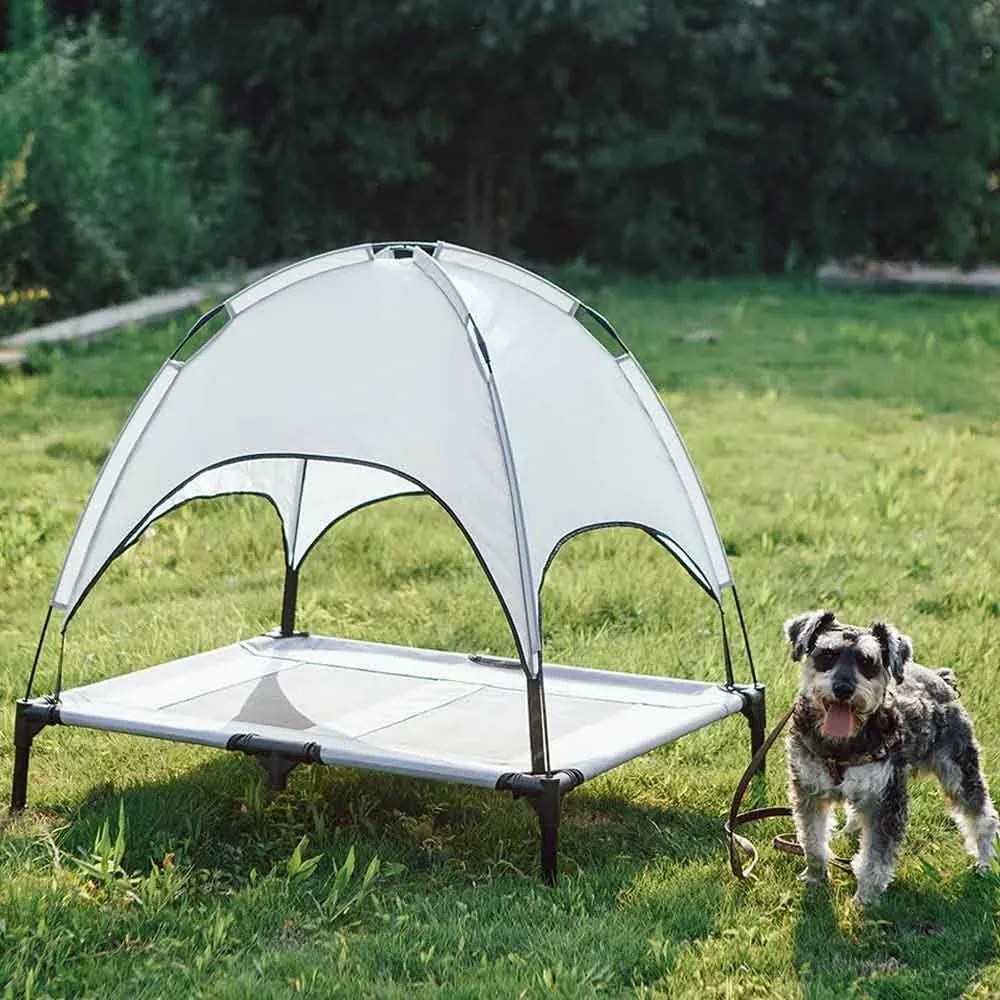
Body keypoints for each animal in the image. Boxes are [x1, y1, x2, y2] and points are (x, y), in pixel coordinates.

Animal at [784, 608, 996, 908]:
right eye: (827, 655)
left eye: (868, 662)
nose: (843, 689)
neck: (842, 745)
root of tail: (940, 678)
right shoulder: (808, 791)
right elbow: (812, 840)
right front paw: (814, 876)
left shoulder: (886, 801)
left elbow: (875, 858)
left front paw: (864, 900)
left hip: (960, 773)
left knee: (983, 817)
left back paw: (984, 862)